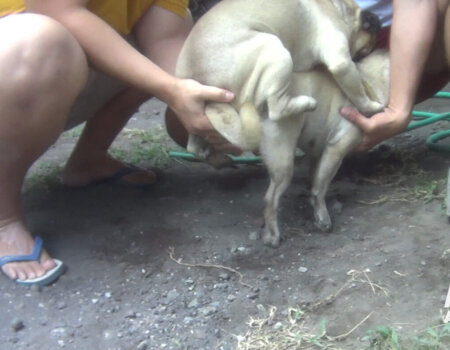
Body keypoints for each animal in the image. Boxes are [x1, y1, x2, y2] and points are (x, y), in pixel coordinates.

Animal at [178, 0, 382, 161]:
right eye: (364, 51)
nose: (359, 59)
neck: (339, 9)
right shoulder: (342, 63)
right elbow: (359, 94)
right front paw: (372, 107)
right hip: (277, 51)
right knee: (277, 108)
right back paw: (306, 103)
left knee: (193, 143)